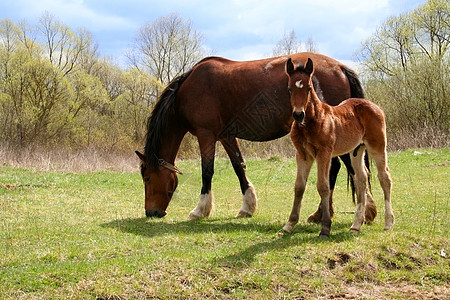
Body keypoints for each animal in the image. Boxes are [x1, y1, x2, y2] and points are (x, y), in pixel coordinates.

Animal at [135, 51, 378, 220]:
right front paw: (247, 206)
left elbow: (207, 171)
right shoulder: (226, 136)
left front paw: (200, 210)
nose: (151, 212)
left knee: (347, 169)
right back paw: (323, 214)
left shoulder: (206, 136)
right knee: (336, 168)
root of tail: (340, 67)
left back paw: (362, 211)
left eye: (147, 178)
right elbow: (239, 166)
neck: (187, 90)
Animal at [284, 58, 394, 237]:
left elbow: (323, 186)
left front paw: (325, 228)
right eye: (289, 88)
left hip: (377, 146)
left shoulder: (324, 153)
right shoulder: (302, 154)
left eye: (308, 88)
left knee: (384, 177)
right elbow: (299, 186)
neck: (312, 121)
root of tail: (373, 105)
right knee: (361, 179)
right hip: (356, 151)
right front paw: (289, 224)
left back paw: (389, 223)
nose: (298, 115)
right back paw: (356, 225)